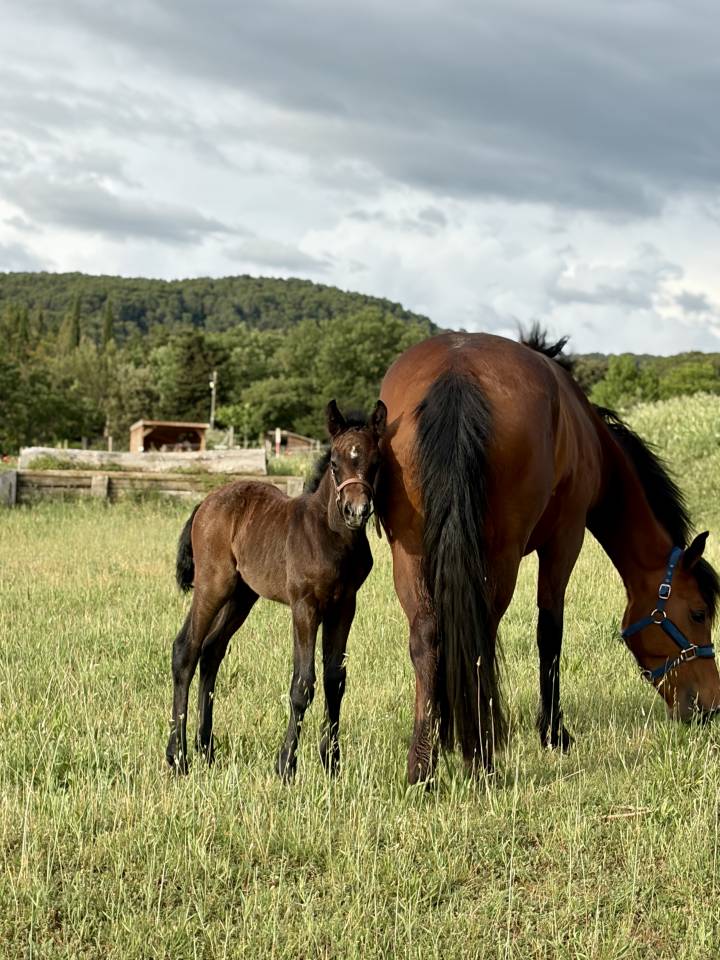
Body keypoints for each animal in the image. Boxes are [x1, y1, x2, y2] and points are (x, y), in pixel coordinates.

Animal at [165, 399, 387, 778]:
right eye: (334, 463)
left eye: (374, 462)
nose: (356, 511)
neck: (329, 536)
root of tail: (206, 502)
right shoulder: (305, 606)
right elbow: (303, 683)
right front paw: (286, 764)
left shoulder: (345, 605)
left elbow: (335, 680)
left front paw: (332, 763)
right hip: (213, 585)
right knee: (186, 649)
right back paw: (177, 756)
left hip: (242, 595)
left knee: (211, 652)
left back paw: (206, 750)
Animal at [377, 328, 720, 784]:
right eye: (698, 613)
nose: (712, 705)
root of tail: (456, 371)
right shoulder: (565, 539)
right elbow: (550, 632)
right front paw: (555, 734)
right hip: (499, 554)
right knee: (483, 635)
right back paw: (481, 758)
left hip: (409, 551)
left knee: (428, 635)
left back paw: (423, 765)